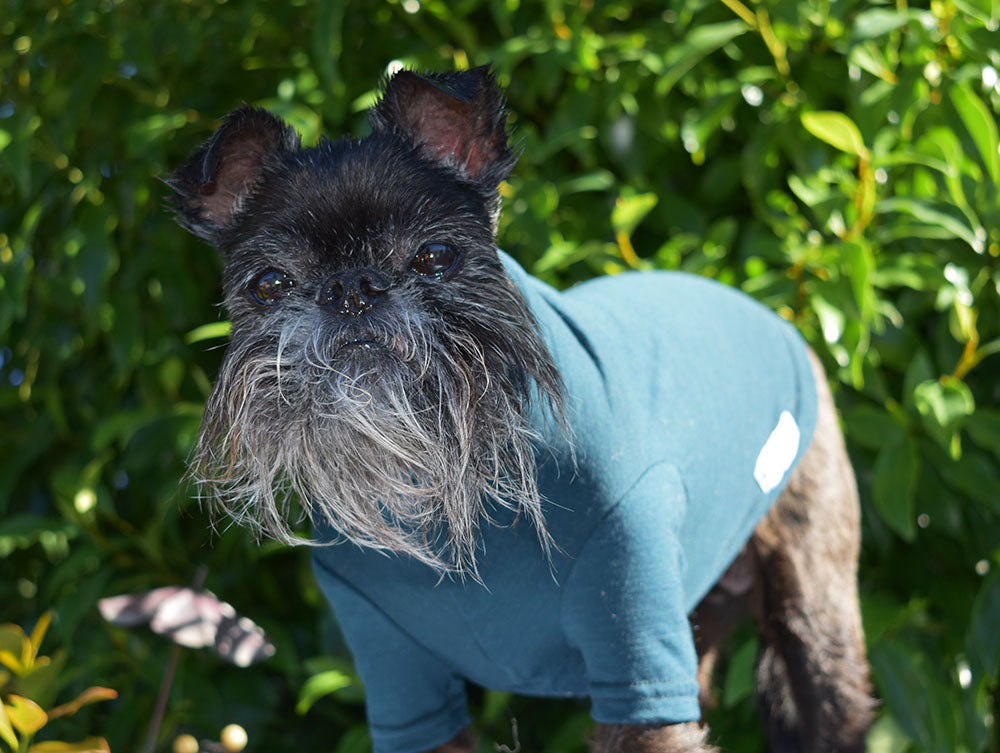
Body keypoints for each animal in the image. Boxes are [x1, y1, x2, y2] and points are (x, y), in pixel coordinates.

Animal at [172, 67, 876, 748]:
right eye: (270, 286)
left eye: (435, 256)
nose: (350, 289)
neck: (443, 482)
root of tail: (779, 320)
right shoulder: (401, 683)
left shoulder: (635, 656)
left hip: (815, 620)